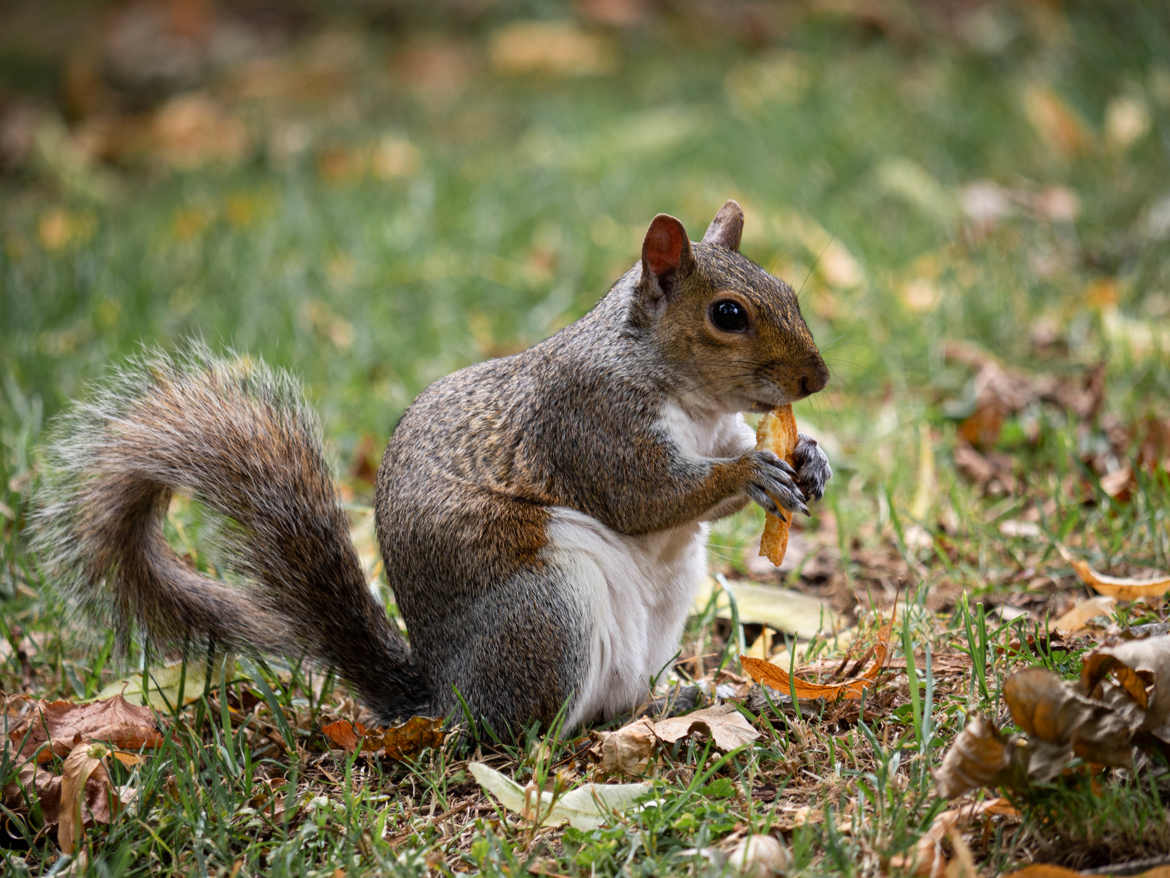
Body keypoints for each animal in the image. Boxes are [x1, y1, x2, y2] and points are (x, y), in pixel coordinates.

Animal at [27, 199, 833, 735]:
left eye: (789, 292)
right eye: (727, 315)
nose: (817, 379)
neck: (685, 393)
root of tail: (443, 697)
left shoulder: (716, 424)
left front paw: (810, 456)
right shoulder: (588, 421)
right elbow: (645, 497)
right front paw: (747, 476)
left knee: (612, 702)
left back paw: (671, 702)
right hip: (544, 611)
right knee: (531, 730)